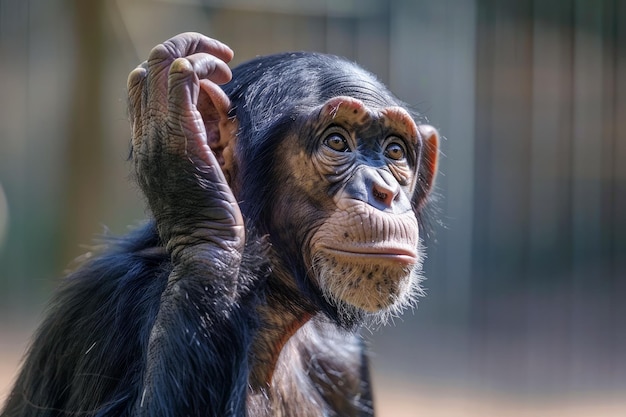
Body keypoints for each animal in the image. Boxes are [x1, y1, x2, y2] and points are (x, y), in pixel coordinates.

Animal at [1, 33, 438, 416]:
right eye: (336, 142)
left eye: (394, 151)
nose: (383, 191)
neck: (270, 314)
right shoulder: (107, 300)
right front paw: (196, 198)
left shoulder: (345, 360)